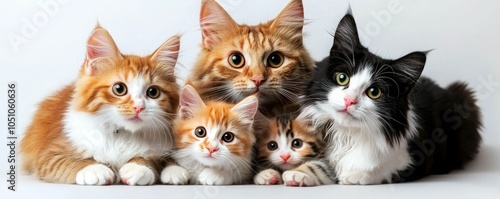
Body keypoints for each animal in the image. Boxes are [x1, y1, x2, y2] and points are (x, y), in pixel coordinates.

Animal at [22, 25, 182, 186]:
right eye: (119, 89)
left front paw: (137, 168)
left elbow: (152, 158)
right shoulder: (49, 155)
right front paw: (94, 169)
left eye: (153, 92)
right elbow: (70, 162)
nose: (139, 107)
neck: (122, 133)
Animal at [302, 13, 482, 185]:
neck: (347, 134)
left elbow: (382, 170)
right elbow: (318, 165)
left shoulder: (418, 158)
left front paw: (354, 175)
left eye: (374, 92)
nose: (349, 100)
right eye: (342, 78)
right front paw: (302, 175)